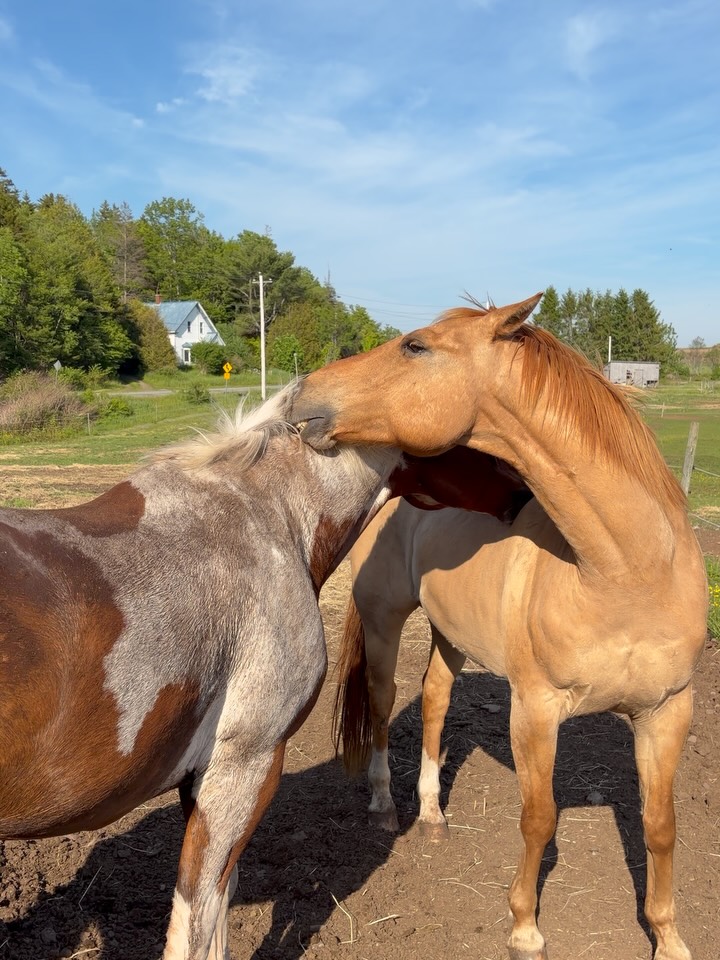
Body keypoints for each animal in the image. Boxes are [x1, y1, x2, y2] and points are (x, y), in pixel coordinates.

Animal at [0, 383, 529, 960]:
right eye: (478, 432)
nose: (523, 496)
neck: (271, 519)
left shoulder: (204, 782)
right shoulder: (244, 766)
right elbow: (196, 924)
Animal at [289, 296, 709, 960]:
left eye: (415, 345)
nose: (303, 394)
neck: (627, 571)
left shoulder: (668, 710)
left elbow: (660, 825)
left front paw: (668, 938)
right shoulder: (534, 709)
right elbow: (539, 818)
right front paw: (524, 928)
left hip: (451, 635)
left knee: (434, 700)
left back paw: (432, 814)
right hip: (384, 623)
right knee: (382, 705)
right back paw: (384, 804)